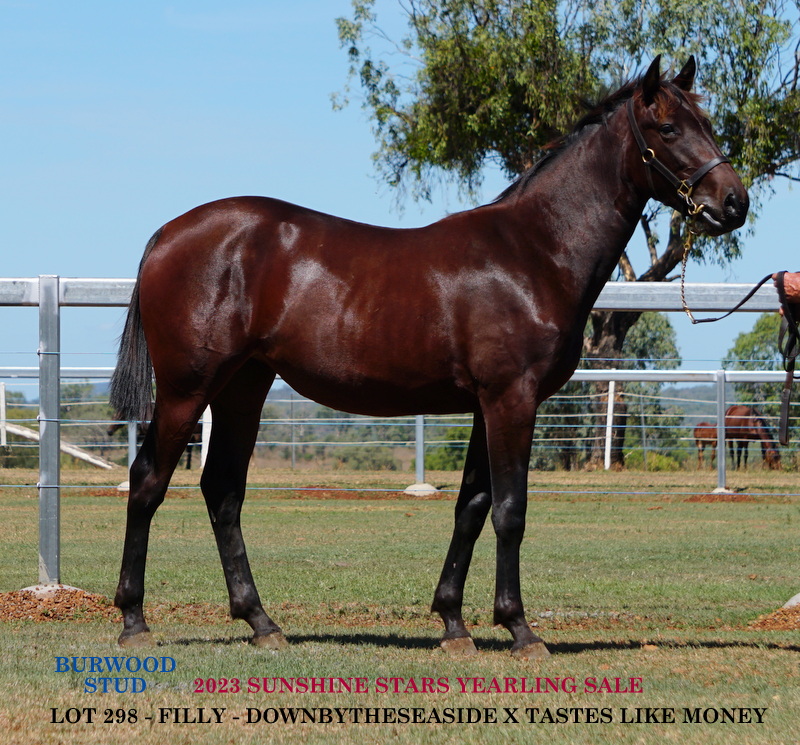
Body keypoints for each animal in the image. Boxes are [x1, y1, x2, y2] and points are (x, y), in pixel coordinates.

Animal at [109, 56, 747, 658]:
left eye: (709, 123)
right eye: (668, 128)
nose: (734, 202)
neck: (535, 251)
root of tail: (166, 235)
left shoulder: (486, 406)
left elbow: (472, 506)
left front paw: (453, 623)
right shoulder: (512, 399)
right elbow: (510, 509)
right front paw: (520, 629)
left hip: (243, 387)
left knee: (222, 490)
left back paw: (261, 622)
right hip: (188, 388)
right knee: (148, 481)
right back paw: (134, 621)